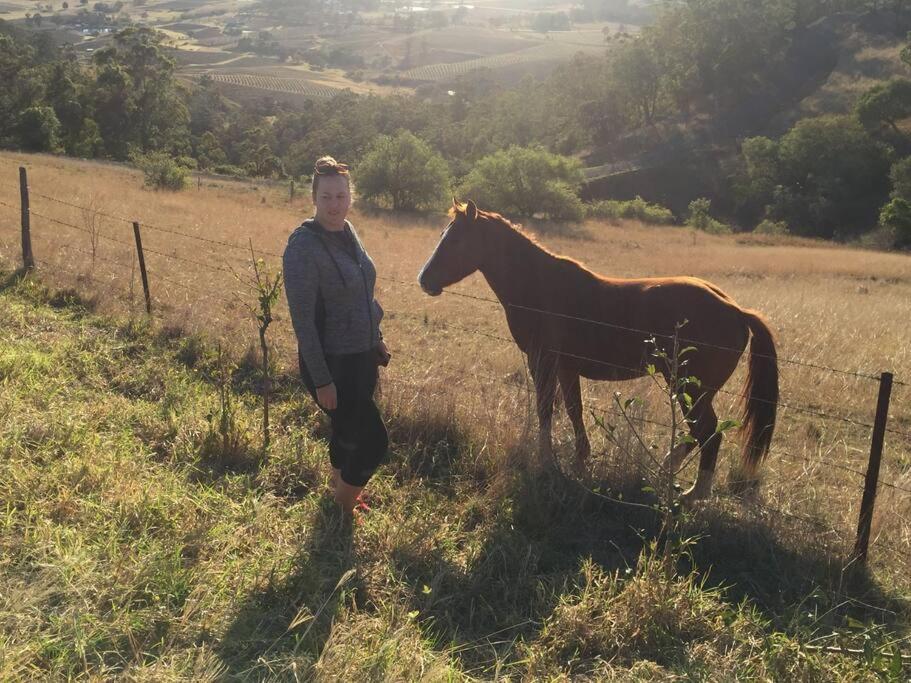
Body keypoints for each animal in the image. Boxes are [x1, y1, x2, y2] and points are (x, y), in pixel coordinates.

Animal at [416, 200, 780, 500]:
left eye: (456, 240)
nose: (424, 280)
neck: (540, 287)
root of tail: (735, 310)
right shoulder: (566, 369)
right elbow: (572, 411)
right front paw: (580, 461)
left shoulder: (544, 362)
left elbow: (545, 410)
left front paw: (546, 460)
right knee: (699, 433)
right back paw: (667, 468)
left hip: (691, 388)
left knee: (708, 434)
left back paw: (693, 495)